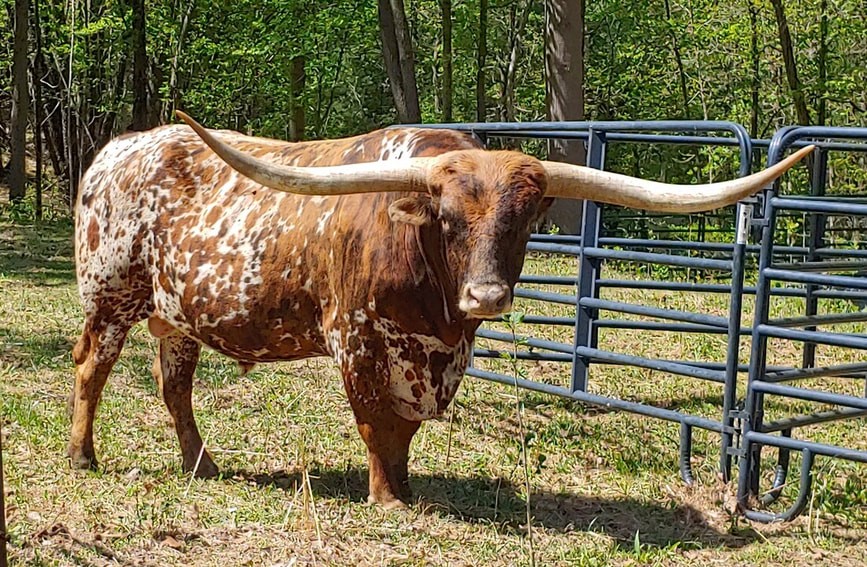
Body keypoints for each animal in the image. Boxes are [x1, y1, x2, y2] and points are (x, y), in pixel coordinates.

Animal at [70, 111, 812, 508]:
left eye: (525, 221)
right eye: (448, 220)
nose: (486, 296)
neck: (439, 320)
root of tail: (117, 149)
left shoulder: (428, 357)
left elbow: (404, 432)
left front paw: (404, 486)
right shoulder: (357, 340)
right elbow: (377, 425)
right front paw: (386, 498)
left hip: (176, 313)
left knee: (174, 384)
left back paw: (200, 462)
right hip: (110, 295)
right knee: (90, 369)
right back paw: (83, 457)